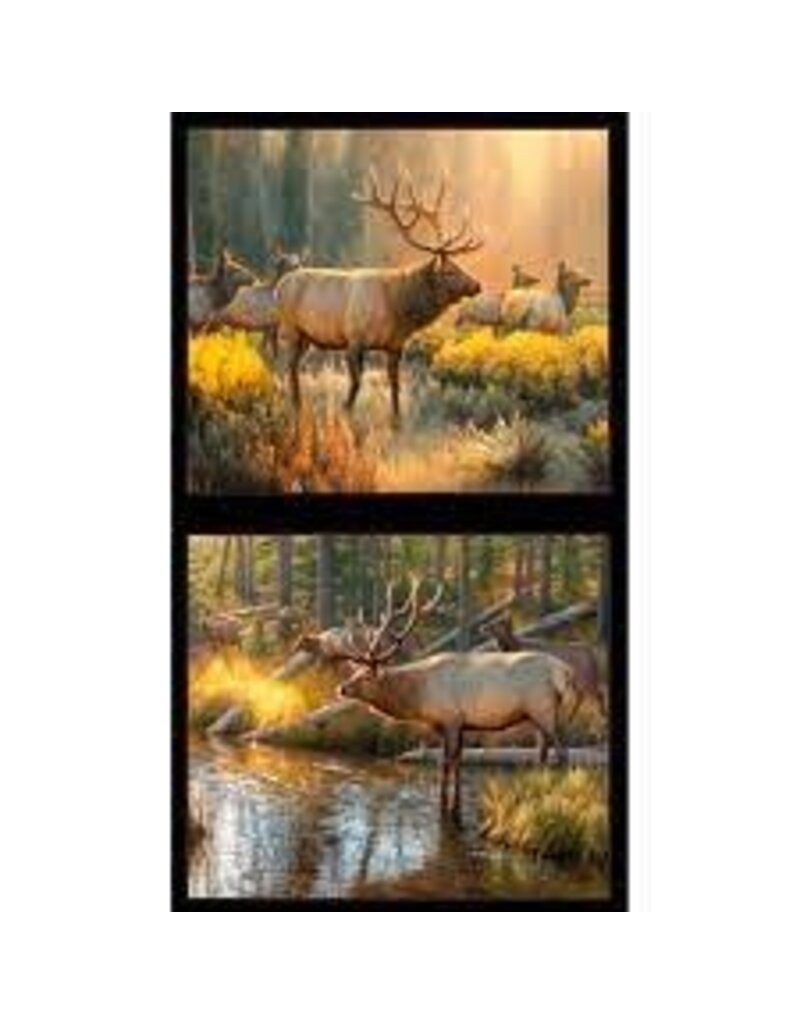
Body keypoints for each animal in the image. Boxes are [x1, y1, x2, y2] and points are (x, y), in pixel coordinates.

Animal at [275, 169, 483, 424]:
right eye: (450, 271)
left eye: (459, 266)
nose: (477, 285)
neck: (399, 308)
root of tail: (279, 286)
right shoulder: (354, 339)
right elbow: (356, 382)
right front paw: (345, 413)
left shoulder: (395, 345)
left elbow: (395, 383)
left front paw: (397, 420)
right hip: (290, 328)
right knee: (287, 366)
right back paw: (295, 405)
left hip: (307, 337)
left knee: (294, 366)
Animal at [300, 578, 580, 818]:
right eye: (355, 671)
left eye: (366, 676)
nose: (341, 688)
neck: (419, 697)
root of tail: (565, 672)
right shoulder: (460, 725)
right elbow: (458, 762)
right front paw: (455, 805)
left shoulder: (451, 719)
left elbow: (446, 762)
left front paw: (446, 807)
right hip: (546, 715)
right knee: (543, 753)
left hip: (542, 709)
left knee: (563, 754)